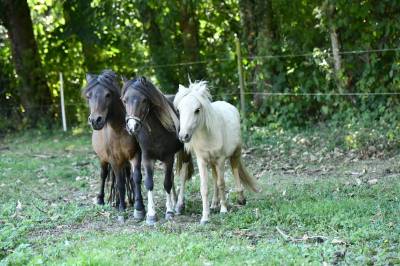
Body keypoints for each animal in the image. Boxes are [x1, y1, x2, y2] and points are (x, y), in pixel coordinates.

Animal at [83, 69, 144, 219]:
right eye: (88, 96)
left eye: (108, 94)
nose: (95, 120)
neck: (119, 131)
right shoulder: (114, 160)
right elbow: (120, 183)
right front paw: (121, 208)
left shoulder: (135, 155)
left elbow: (136, 178)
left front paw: (139, 207)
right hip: (103, 159)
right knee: (104, 175)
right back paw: (102, 200)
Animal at [175, 81, 260, 224]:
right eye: (179, 110)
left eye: (197, 110)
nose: (183, 136)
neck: (208, 135)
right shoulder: (202, 161)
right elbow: (204, 187)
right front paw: (205, 217)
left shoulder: (220, 159)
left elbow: (222, 183)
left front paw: (224, 210)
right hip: (212, 162)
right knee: (214, 178)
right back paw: (214, 204)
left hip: (235, 154)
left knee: (234, 170)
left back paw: (240, 199)